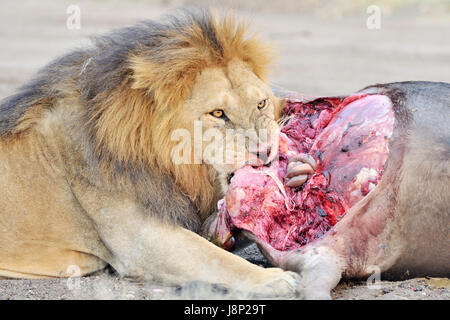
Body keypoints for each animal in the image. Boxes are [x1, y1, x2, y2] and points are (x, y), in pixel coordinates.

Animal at [0, 9, 302, 296]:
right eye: (218, 113)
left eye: (261, 103)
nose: (266, 151)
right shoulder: (145, 242)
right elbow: (216, 259)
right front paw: (274, 279)